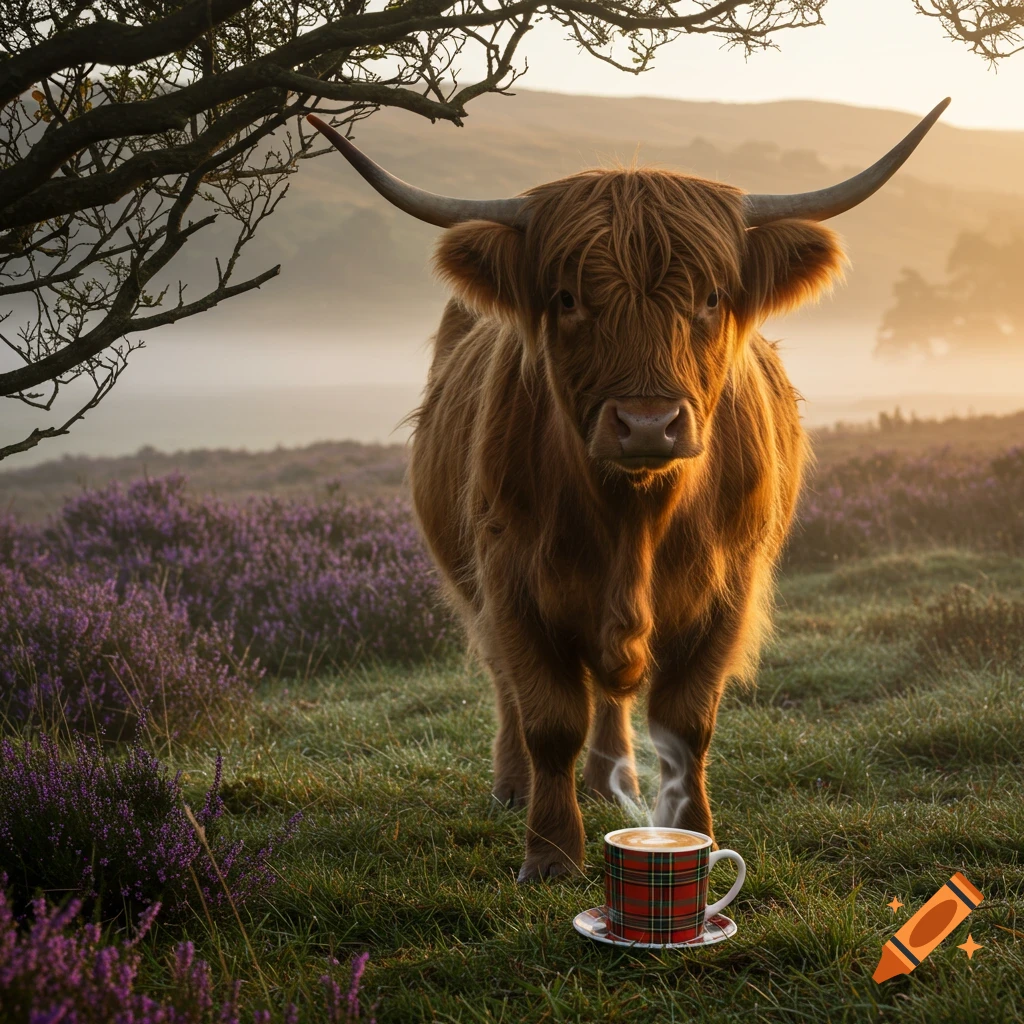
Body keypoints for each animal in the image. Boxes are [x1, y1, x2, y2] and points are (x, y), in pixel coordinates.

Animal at [308, 99, 949, 881]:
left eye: (711, 296)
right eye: (566, 298)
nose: (647, 423)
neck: (634, 516)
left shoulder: (729, 585)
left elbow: (686, 721)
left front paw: (692, 839)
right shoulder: (511, 579)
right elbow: (549, 718)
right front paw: (552, 854)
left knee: (611, 697)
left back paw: (611, 782)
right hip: (475, 585)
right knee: (510, 686)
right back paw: (513, 786)